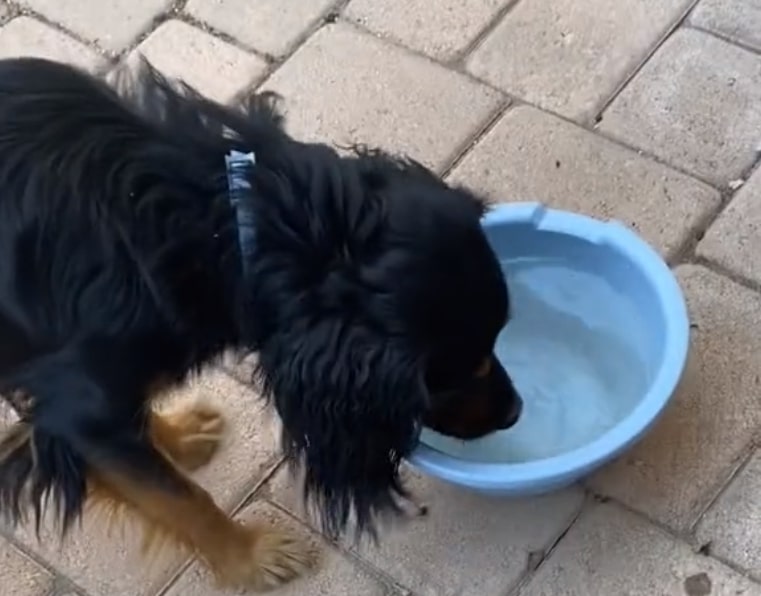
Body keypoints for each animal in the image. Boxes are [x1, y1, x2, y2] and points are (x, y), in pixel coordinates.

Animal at [0, 57, 524, 592]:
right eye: (451, 374)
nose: (515, 411)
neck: (222, 217)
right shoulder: (80, 399)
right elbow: (178, 497)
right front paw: (249, 558)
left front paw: (174, 438)